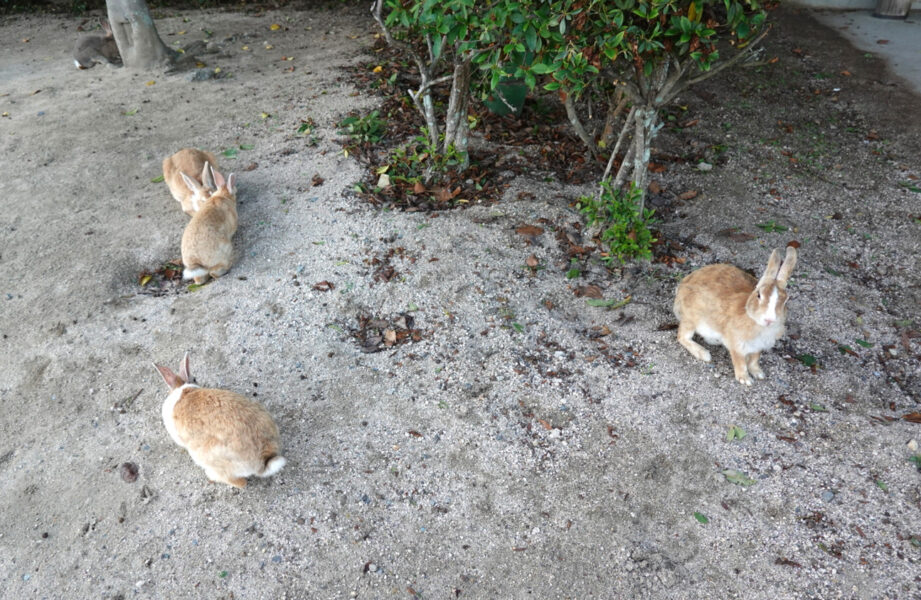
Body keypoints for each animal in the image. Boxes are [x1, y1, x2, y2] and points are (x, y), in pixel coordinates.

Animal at [672, 246, 796, 386]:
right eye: (759, 295)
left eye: (786, 300)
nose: (769, 319)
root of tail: (680, 289)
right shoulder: (737, 345)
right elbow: (740, 362)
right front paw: (745, 379)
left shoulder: (758, 347)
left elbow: (754, 360)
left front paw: (759, 374)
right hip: (692, 319)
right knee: (682, 337)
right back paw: (703, 354)